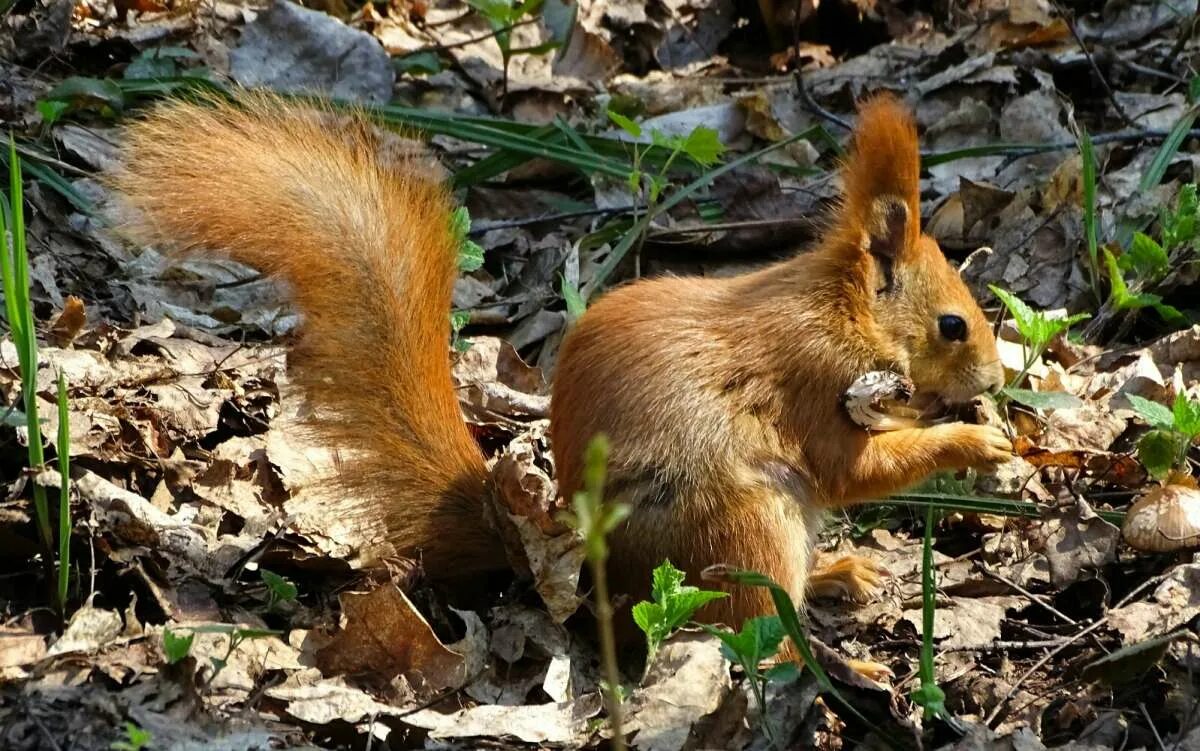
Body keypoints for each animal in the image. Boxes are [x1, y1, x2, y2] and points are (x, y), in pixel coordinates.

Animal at [114, 92, 1012, 662]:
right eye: (952, 324)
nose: (996, 377)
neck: (844, 311)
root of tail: (586, 577)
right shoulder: (813, 376)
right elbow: (854, 470)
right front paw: (978, 442)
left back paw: (836, 573)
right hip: (739, 521)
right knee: (747, 636)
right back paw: (838, 665)